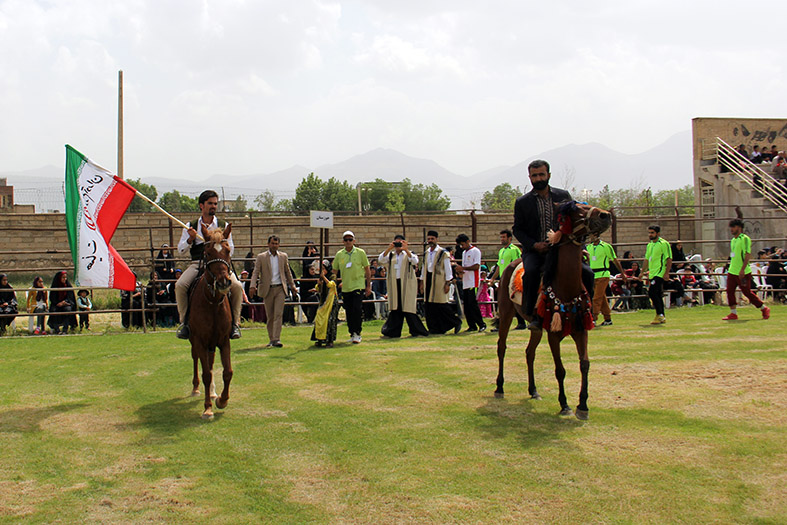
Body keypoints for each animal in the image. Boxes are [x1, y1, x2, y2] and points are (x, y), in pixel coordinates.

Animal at [496, 203, 612, 420]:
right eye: (576, 209)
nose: (605, 215)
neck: (566, 287)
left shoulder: (581, 330)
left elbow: (585, 364)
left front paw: (583, 405)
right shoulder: (553, 335)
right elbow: (560, 370)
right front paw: (565, 404)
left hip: (536, 328)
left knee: (529, 352)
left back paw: (533, 390)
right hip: (506, 314)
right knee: (502, 347)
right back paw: (499, 387)